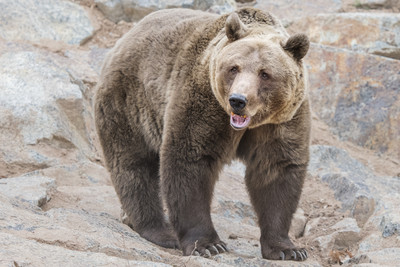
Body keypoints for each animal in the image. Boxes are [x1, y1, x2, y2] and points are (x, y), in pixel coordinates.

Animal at [95, 7, 310, 262]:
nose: (238, 100)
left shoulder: (281, 123)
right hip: (130, 102)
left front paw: (288, 249)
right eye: (234, 68)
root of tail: (125, 38)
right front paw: (208, 244)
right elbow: (189, 161)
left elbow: (276, 171)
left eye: (265, 73)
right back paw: (159, 230)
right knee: (133, 165)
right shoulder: (203, 102)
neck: (244, 126)